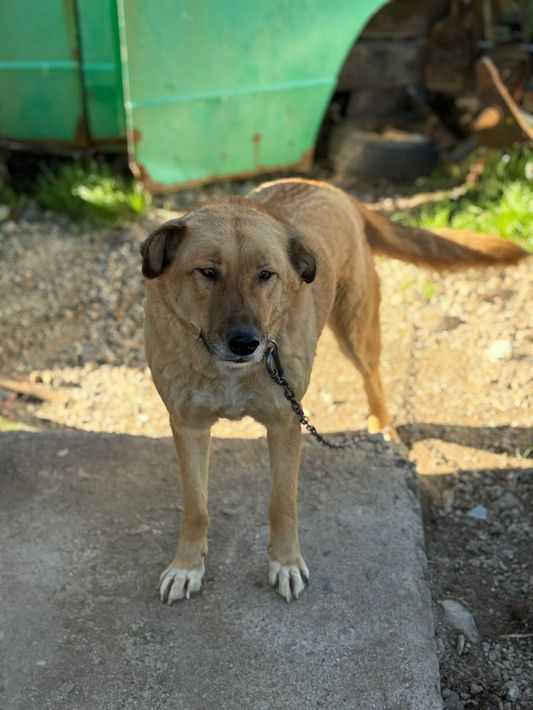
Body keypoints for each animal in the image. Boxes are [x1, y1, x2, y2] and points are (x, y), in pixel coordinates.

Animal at [140, 178, 526, 604]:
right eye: (208, 272)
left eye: (265, 274)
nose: (246, 343)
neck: (227, 370)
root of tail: (323, 184)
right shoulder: (188, 426)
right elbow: (196, 508)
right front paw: (187, 566)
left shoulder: (285, 424)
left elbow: (283, 503)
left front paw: (285, 562)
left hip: (356, 334)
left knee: (374, 381)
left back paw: (381, 428)